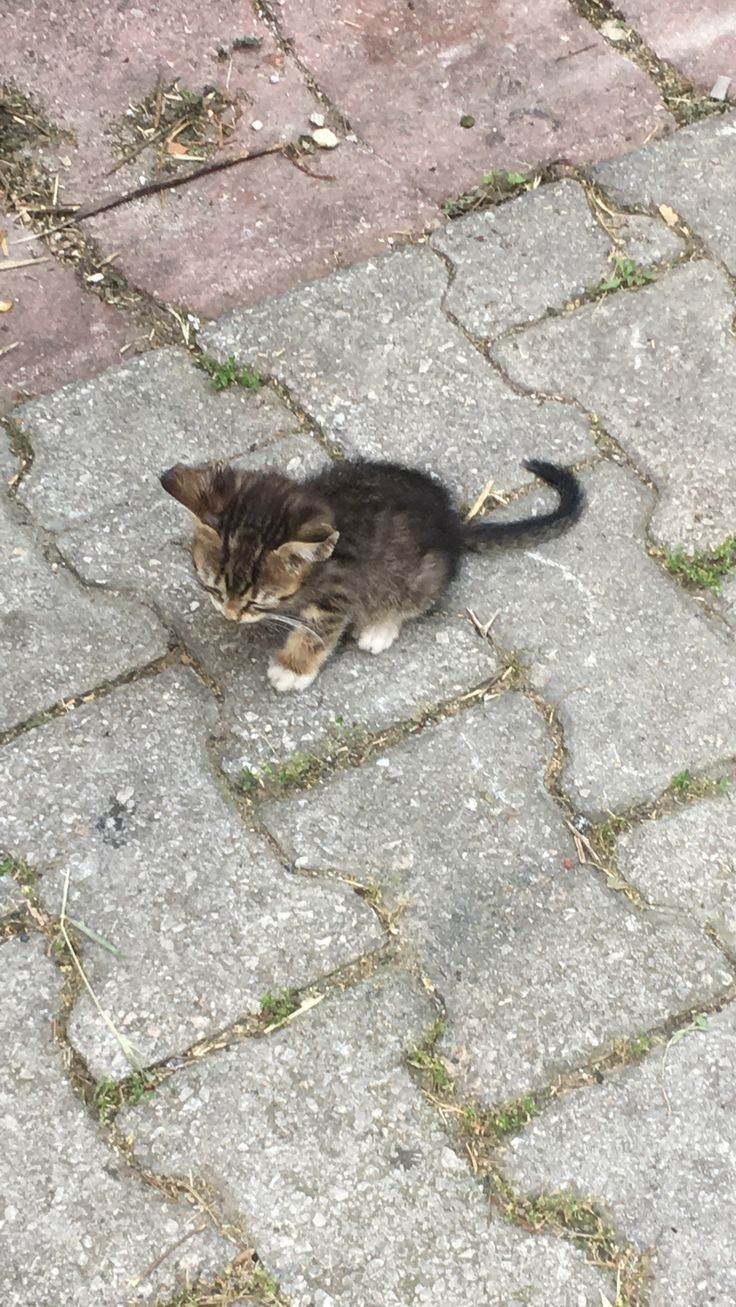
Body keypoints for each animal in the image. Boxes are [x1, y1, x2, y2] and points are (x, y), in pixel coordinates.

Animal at [160, 454, 583, 690]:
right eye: (214, 589)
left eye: (257, 601)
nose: (231, 614)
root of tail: (451, 523)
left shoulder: (339, 592)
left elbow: (317, 633)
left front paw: (292, 668)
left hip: (414, 577)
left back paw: (379, 629)